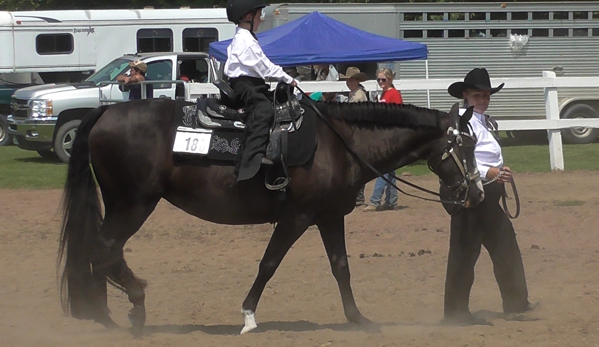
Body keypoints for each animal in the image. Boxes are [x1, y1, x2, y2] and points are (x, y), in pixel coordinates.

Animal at [58, 97, 486, 334]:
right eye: (466, 146)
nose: (477, 192)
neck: (340, 144)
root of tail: (105, 111)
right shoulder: (296, 218)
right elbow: (269, 263)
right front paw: (248, 315)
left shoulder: (329, 217)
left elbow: (341, 266)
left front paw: (358, 319)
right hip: (133, 204)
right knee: (106, 247)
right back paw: (133, 306)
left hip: (121, 204)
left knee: (99, 250)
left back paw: (104, 314)